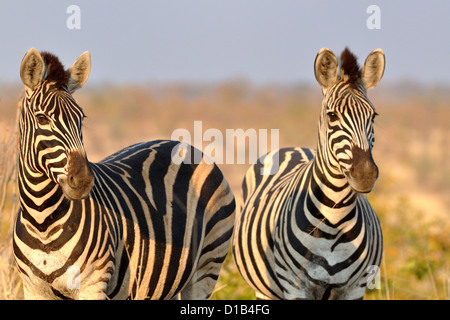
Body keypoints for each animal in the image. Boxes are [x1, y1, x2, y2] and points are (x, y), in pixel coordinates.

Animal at [12, 48, 236, 300]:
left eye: (81, 118)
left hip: (207, 265)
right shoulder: (33, 288)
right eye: (42, 118)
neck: (43, 221)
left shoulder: (93, 284)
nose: (83, 181)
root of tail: (186, 146)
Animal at [234, 48, 384, 300]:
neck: (334, 221)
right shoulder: (295, 287)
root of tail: (292, 147)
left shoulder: (355, 288)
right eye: (332, 116)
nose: (365, 174)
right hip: (265, 290)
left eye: (373, 116)